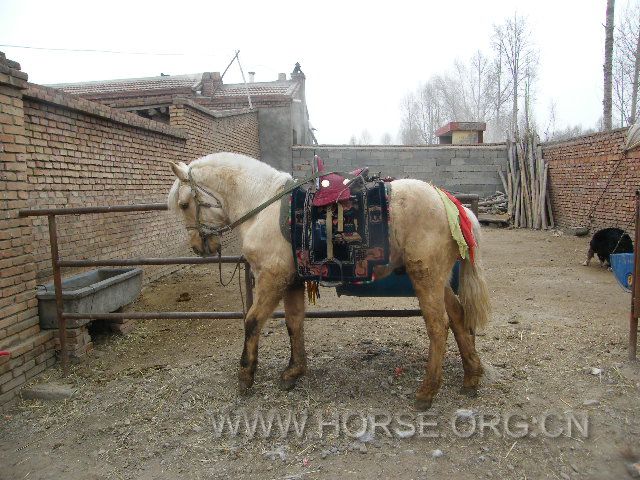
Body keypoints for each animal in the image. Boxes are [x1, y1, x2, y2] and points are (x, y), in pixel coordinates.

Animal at [169, 152, 490, 410]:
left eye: (184, 204)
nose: (199, 247)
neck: (263, 205)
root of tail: (451, 203)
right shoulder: (292, 280)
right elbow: (294, 322)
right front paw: (293, 371)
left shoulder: (272, 278)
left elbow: (252, 321)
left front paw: (246, 375)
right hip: (438, 279)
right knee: (458, 317)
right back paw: (471, 377)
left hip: (426, 277)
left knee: (438, 327)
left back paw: (426, 392)